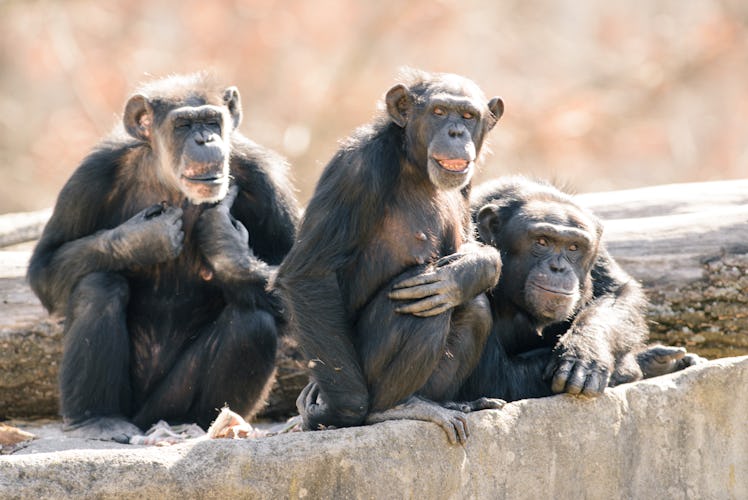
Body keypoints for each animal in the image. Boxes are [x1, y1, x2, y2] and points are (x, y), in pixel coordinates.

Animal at [26, 72, 300, 440]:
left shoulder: (265, 178)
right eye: (183, 125)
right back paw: (97, 418)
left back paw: (209, 423)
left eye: (211, 121)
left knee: (253, 323)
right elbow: (45, 265)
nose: (204, 139)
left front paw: (224, 242)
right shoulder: (91, 175)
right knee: (99, 287)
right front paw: (140, 239)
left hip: (168, 402)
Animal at [276, 68, 508, 444]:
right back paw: (392, 407)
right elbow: (310, 273)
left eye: (468, 116)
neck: (413, 161)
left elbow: (470, 247)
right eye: (439, 112)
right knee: (419, 306)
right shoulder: (355, 170)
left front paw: (469, 269)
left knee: (472, 307)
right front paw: (339, 412)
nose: (456, 132)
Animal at [458, 176, 704, 402]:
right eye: (542, 241)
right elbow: (494, 376)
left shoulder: (598, 251)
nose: (558, 268)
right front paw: (639, 363)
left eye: (574, 247)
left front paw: (585, 353)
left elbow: (618, 292)